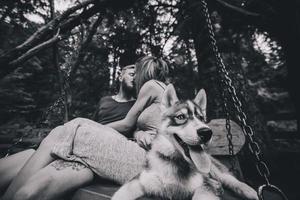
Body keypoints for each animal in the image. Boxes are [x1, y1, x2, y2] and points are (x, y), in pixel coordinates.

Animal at [112, 84, 258, 200]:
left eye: (201, 118)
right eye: (181, 117)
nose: (206, 132)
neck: (175, 162)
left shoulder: (203, 187)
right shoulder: (140, 181)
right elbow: (121, 194)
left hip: (215, 169)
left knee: (229, 178)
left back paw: (249, 191)